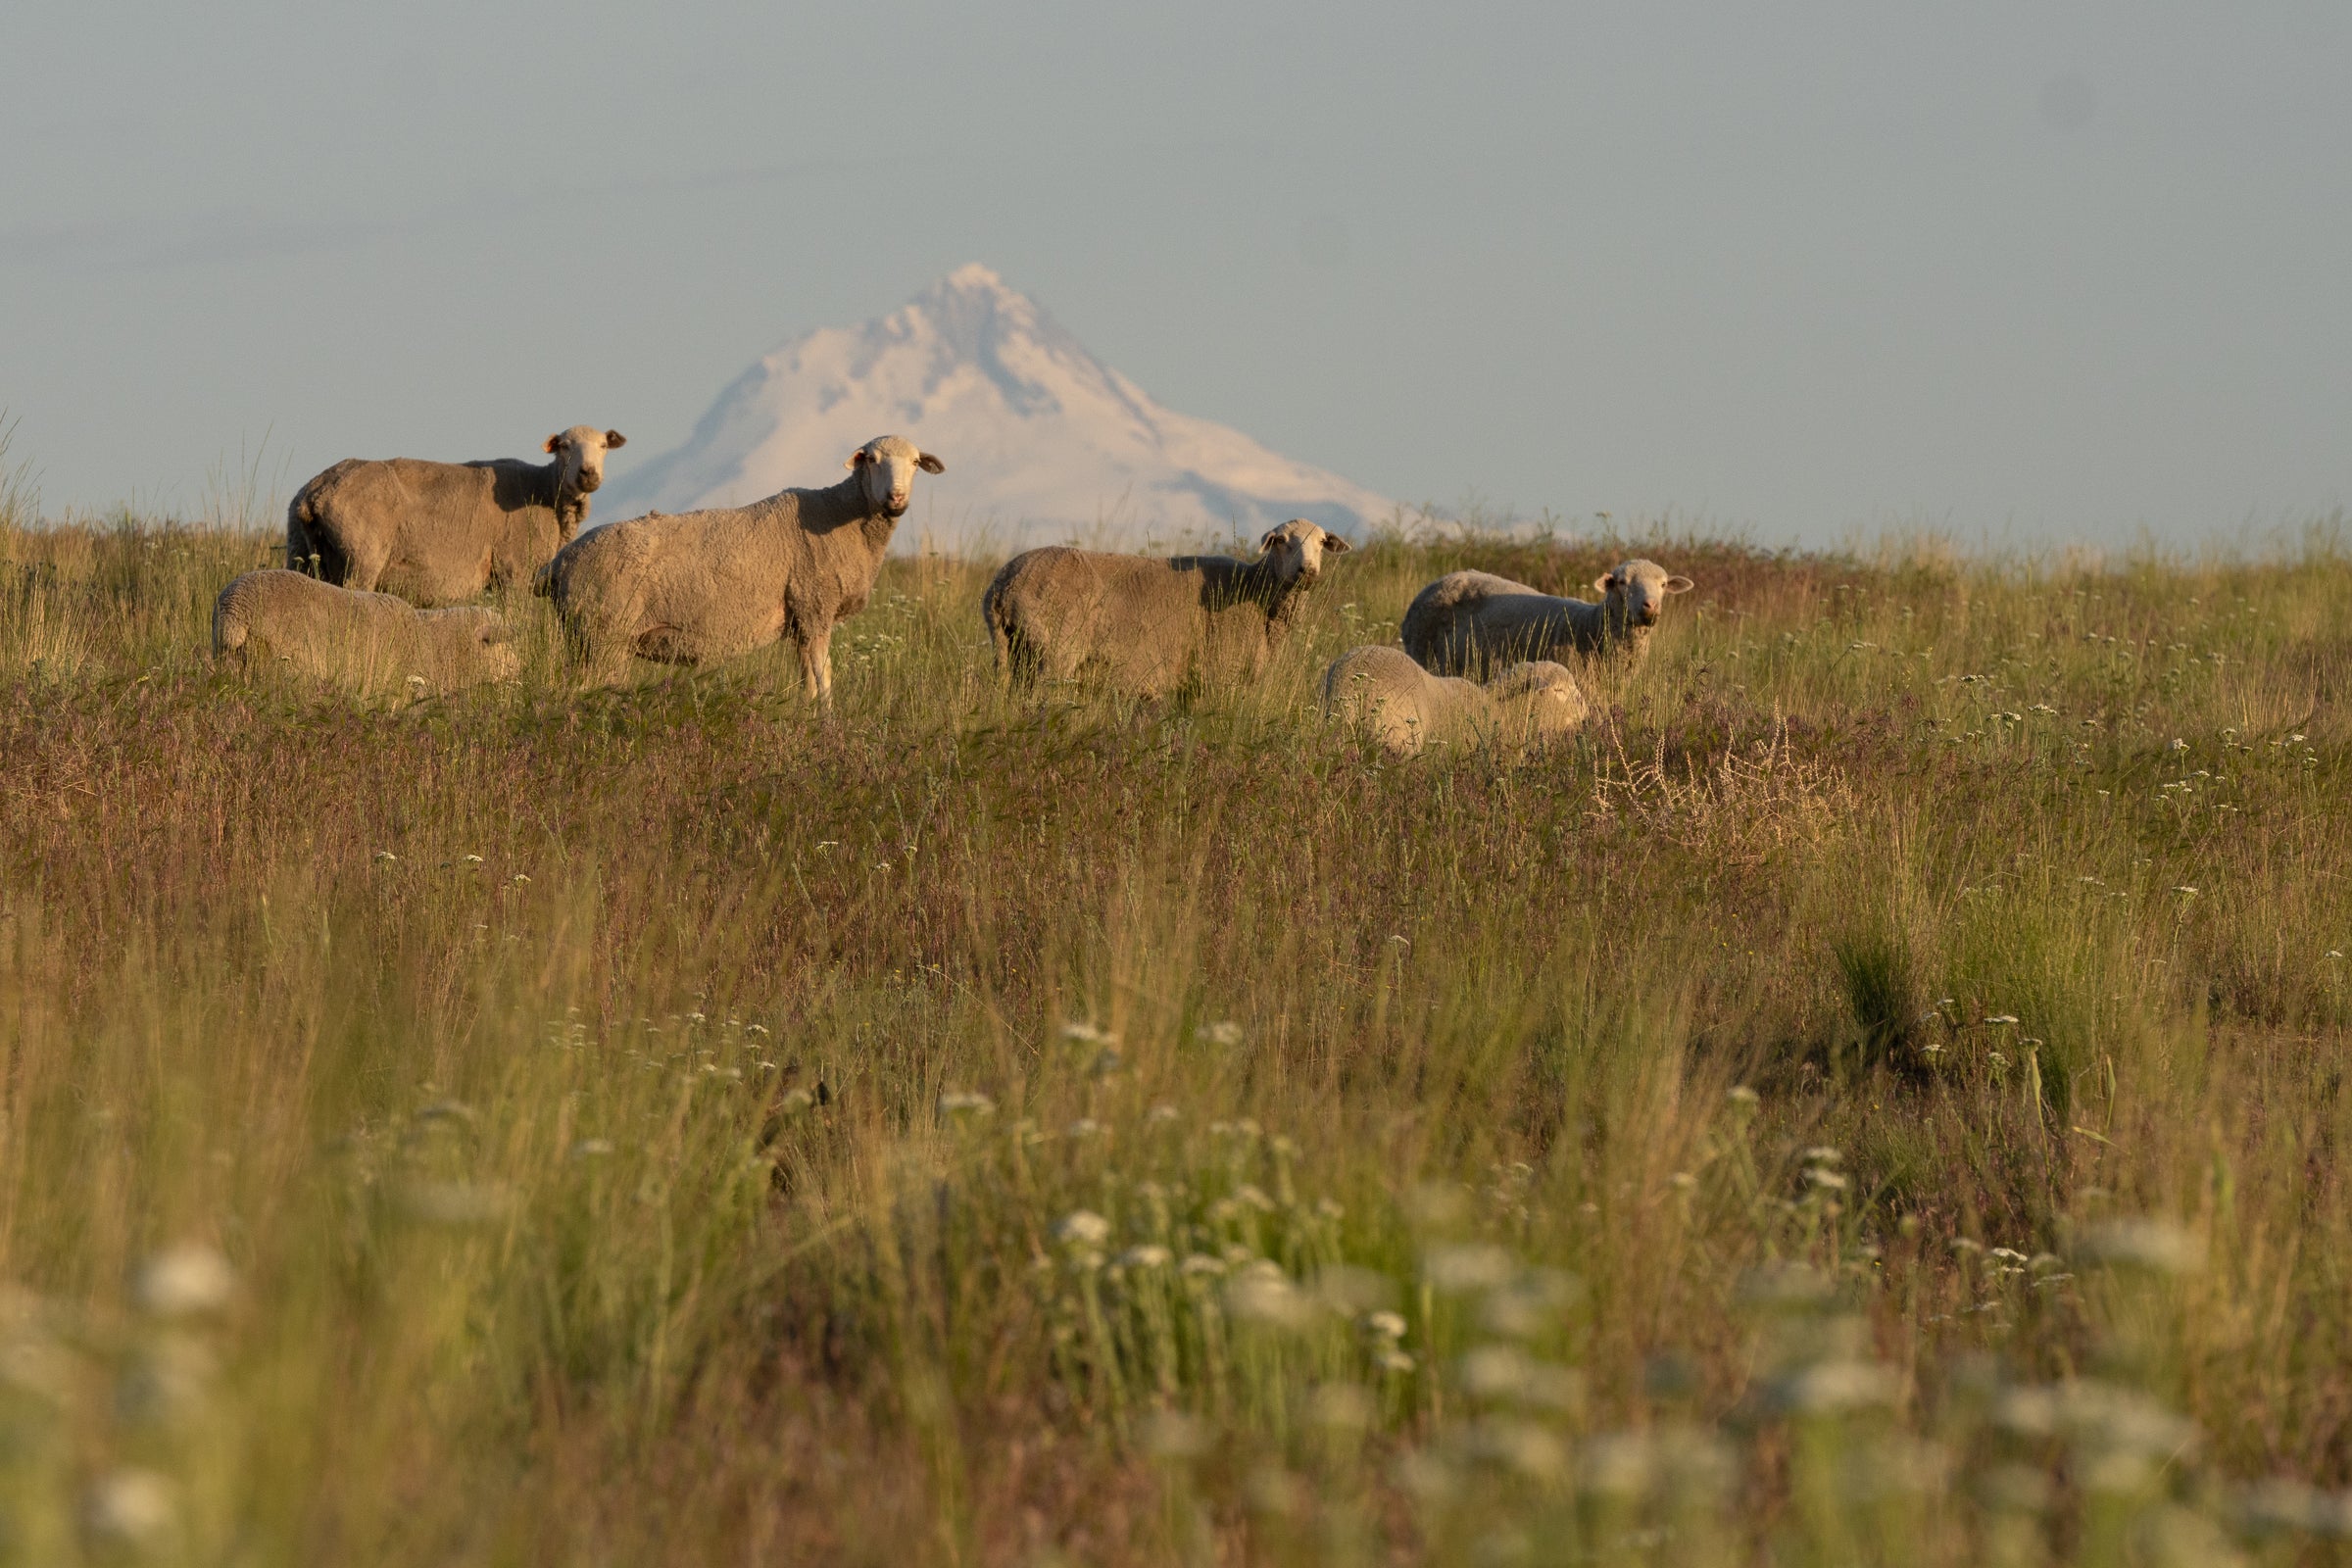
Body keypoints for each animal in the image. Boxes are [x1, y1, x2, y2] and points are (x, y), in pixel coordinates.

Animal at [285, 426, 626, 605]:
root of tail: (316, 491)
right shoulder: (514, 571)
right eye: (564, 446)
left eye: (603, 446)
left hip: (298, 548)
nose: (588, 474)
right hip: (362, 555)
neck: (544, 490)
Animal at [532, 434, 944, 697]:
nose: (896, 498)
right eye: (872, 460)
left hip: (584, 634)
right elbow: (824, 680)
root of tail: (560, 561)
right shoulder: (815, 607)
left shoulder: (802, 621)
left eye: (914, 463)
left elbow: (809, 684)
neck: (842, 514)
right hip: (605, 631)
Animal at [982, 520, 1352, 695]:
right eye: (1282, 541)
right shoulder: (1221, 676)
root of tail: (1003, 584)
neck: (1256, 593)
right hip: (1056, 649)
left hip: (1014, 650)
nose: (1308, 571)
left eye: (1322, 542)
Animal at [1399, 558, 1693, 677]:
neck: (1590, 626)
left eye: (1664, 584)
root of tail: (1434, 584)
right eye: (1622, 582)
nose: (1650, 606)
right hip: (1422, 654)